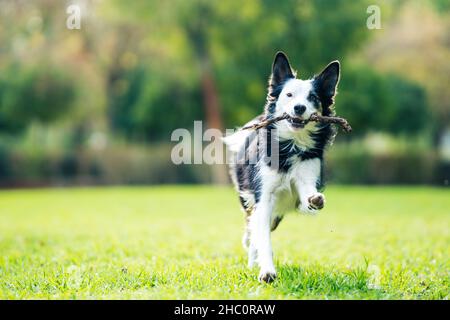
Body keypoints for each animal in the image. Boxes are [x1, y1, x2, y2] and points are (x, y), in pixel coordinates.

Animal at [223, 52, 340, 282]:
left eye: (313, 97)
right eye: (289, 95)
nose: (299, 108)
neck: (292, 146)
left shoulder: (307, 175)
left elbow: (307, 194)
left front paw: (315, 199)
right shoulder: (264, 196)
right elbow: (262, 239)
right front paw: (267, 271)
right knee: (252, 231)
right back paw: (252, 261)